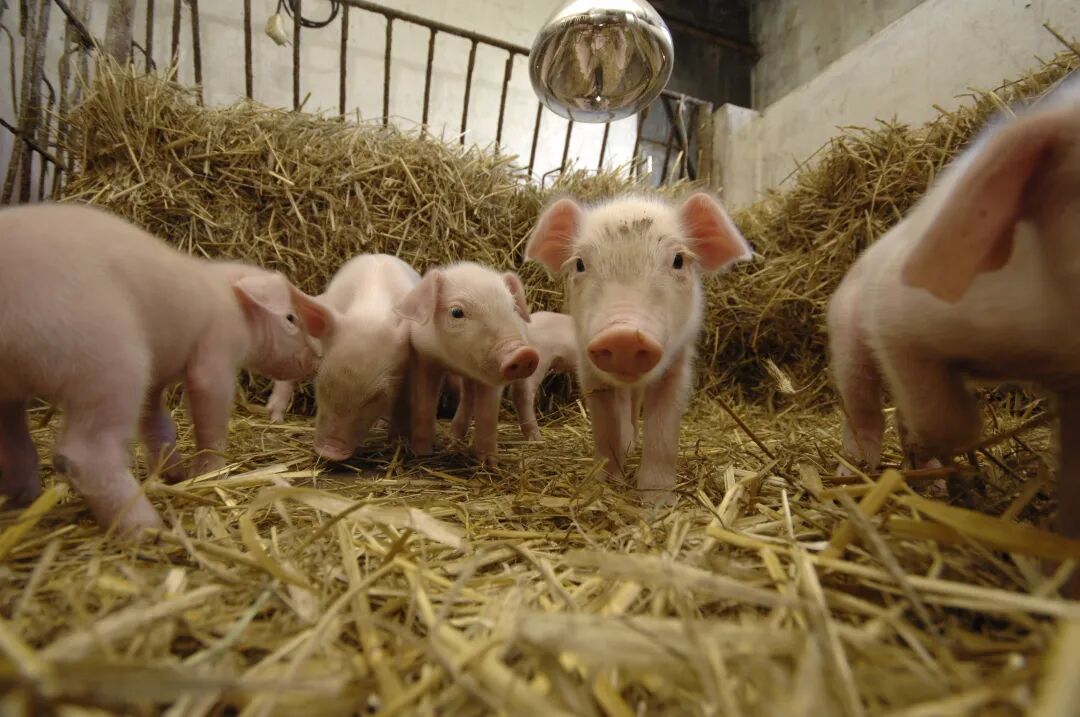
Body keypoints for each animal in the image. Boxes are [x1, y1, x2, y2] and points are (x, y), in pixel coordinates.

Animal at [0, 202, 327, 535]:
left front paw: (174, 474)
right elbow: (210, 414)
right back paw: (147, 528)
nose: (314, 359)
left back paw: (22, 505)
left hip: (13, 389)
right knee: (84, 453)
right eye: (291, 319)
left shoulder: (156, 378)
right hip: (109, 362)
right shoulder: (216, 352)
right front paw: (207, 473)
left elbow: (156, 422)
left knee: (14, 447)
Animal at [395, 261, 539, 463]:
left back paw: (536, 441)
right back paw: (452, 439)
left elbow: (487, 414)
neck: (454, 362)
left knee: (522, 396)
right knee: (468, 397)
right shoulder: (425, 358)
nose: (523, 354)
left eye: (512, 307)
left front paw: (488, 463)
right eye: (456, 312)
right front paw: (421, 453)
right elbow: (425, 404)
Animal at [525, 193, 753, 491]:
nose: (623, 336)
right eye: (580, 264)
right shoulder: (589, 371)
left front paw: (656, 496)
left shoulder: (678, 366)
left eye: (678, 260)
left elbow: (663, 433)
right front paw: (607, 483)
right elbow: (606, 427)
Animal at [825, 76, 1080, 593]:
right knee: (861, 412)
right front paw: (938, 459)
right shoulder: (897, 318)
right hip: (847, 343)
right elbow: (947, 419)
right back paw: (862, 470)